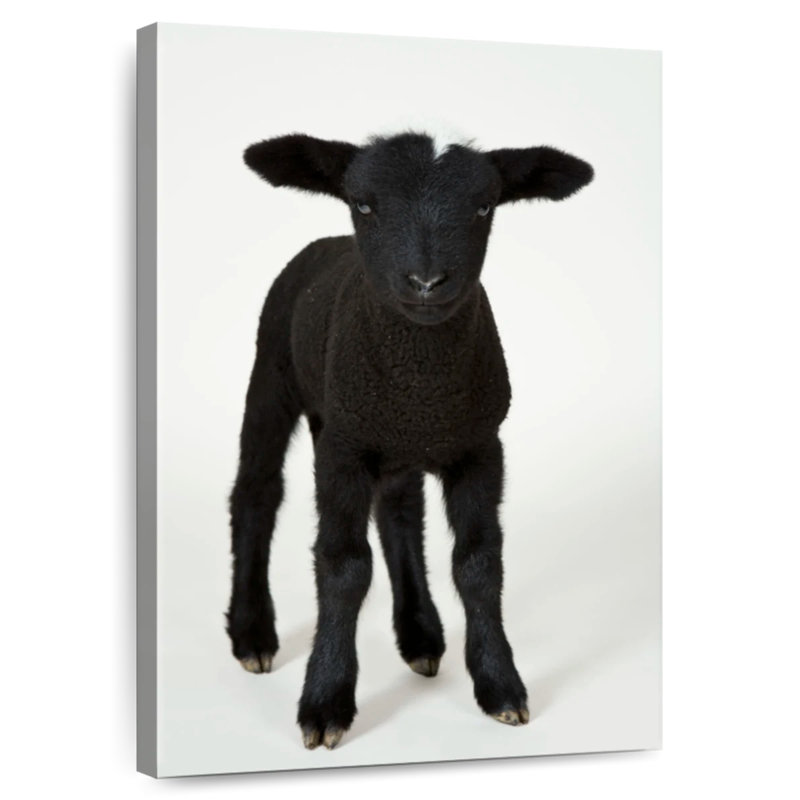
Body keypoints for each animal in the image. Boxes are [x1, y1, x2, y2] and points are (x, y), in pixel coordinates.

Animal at [226, 131, 593, 750]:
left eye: (484, 207)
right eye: (364, 204)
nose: (425, 283)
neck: (420, 384)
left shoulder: (478, 446)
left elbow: (478, 563)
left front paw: (499, 684)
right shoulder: (345, 451)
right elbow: (343, 566)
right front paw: (325, 700)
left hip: (387, 441)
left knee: (399, 514)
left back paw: (420, 634)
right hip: (274, 372)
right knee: (256, 492)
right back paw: (252, 633)